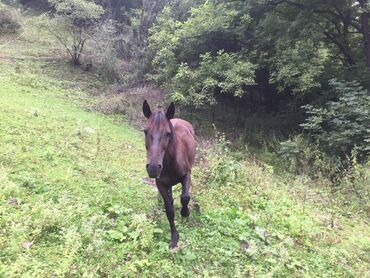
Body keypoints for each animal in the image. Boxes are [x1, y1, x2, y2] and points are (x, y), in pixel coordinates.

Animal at [142, 101, 195, 249]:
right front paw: (174, 238)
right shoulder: (160, 184)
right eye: (145, 131)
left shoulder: (187, 175)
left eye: (168, 133)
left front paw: (185, 213)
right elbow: (170, 210)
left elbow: (185, 197)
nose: (153, 168)